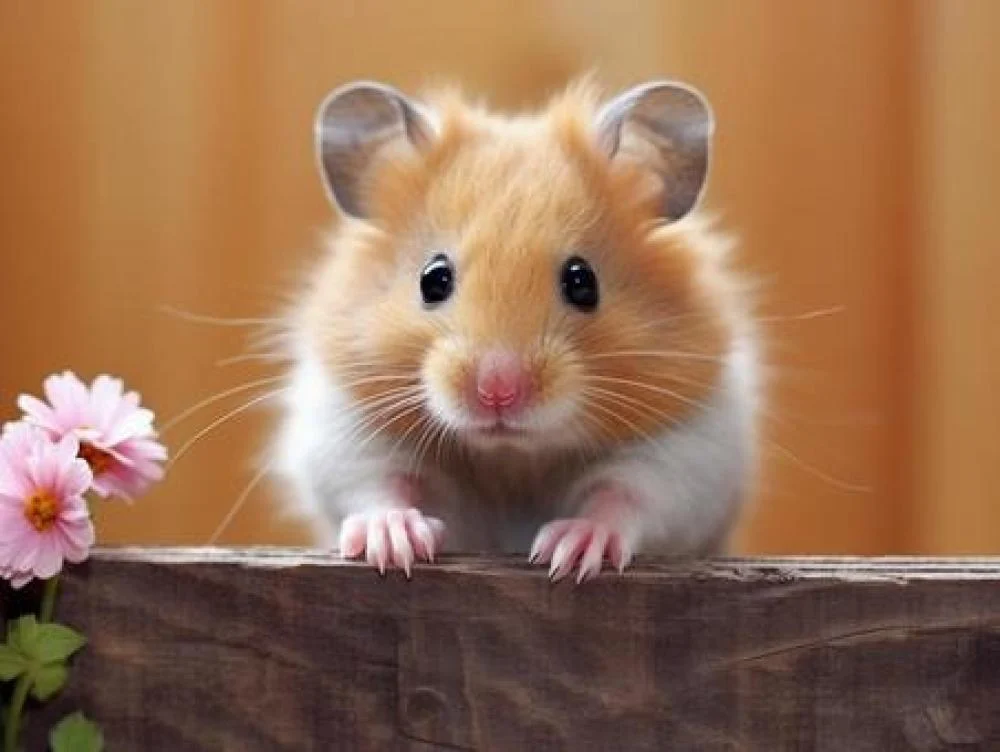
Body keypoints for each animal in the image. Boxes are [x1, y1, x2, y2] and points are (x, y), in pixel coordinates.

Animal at [272, 78, 759, 582]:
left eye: (582, 282)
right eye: (433, 279)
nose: (497, 392)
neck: (511, 453)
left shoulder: (691, 449)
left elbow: (624, 494)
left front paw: (570, 553)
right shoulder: (344, 428)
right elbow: (377, 484)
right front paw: (394, 546)